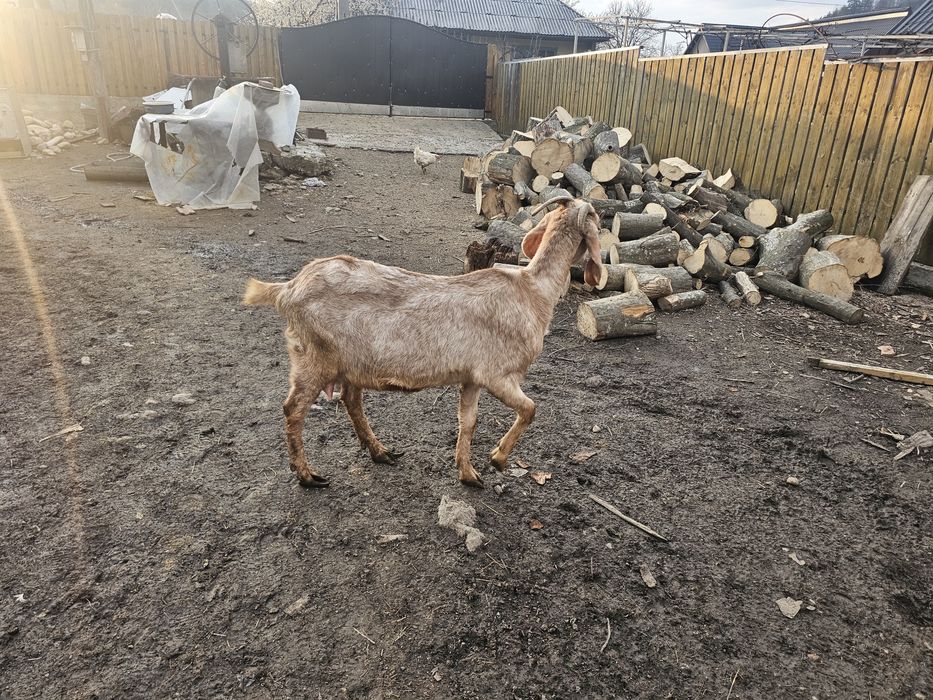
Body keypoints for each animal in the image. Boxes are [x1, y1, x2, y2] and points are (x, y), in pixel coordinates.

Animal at [243, 196, 603, 488]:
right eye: (598, 218)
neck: (532, 291)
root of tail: (287, 290)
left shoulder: (472, 378)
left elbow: (468, 422)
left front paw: (468, 474)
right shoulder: (498, 374)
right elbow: (530, 408)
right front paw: (498, 459)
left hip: (349, 362)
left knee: (350, 399)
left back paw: (380, 452)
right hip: (313, 356)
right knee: (294, 409)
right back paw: (308, 476)